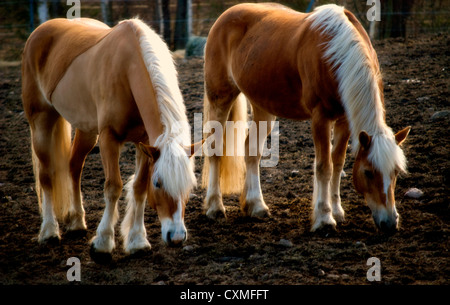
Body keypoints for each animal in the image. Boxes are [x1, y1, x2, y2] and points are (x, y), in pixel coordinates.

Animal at [22, 16, 201, 260]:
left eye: (189, 185)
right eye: (158, 183)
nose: (176, 237)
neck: (127, 69)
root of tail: (41, 30)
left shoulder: (145, 144)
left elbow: (139, 188)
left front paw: (137, 241)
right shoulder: (109, 138)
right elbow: (113, 187)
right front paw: (103, 243)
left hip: (87, 131)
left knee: (73, 166)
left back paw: (76, 222)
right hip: (41, 122)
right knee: (46, 174)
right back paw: (49, 230)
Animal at [204, 2, 412, 233]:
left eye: (395, 172)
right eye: (368, 172)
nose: (390, 222)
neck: (334, 54)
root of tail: (226, 15)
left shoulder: (344, 120)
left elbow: (337, 163)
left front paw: (337, 211)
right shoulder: (320, 118)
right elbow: (324, 167)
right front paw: (324, 218)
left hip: (263, 107)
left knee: (252, 151)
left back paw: (256, 205)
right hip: (220, 98)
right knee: (214, 150)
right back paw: (215, 207)